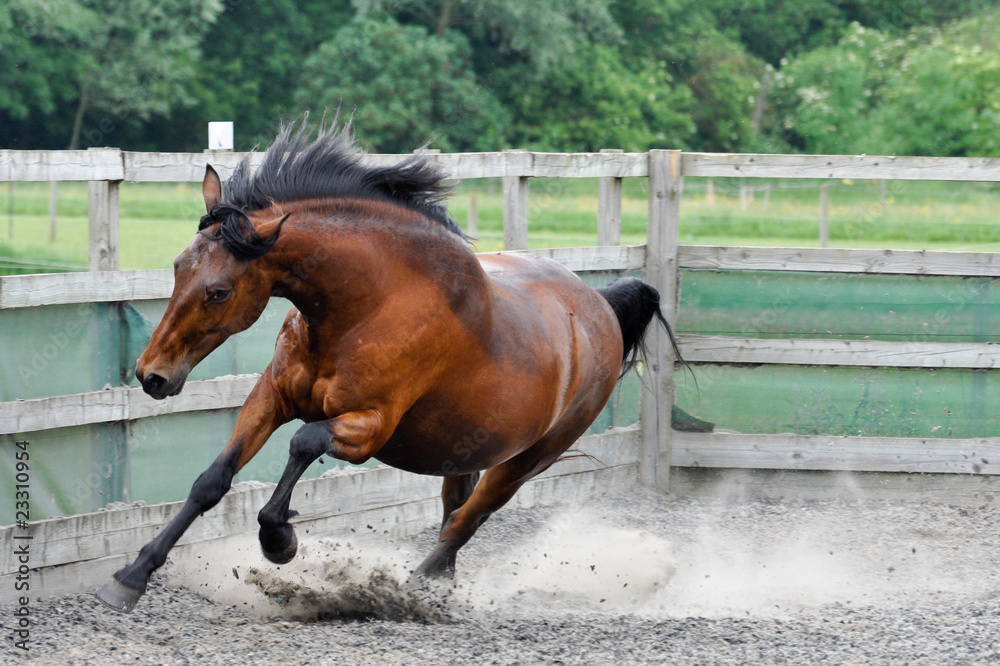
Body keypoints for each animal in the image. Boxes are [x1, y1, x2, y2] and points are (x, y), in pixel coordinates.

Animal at [95, 125, 676, 613]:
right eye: (178, 267)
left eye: (218, 292)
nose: (152, 375)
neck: (369, 306)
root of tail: (603, 308)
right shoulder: (270, 398)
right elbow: (211, 482)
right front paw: (131, 576)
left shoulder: (368, 427)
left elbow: (303, 442)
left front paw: (279, 540)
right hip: (464, 448)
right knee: (454, 510)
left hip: (530, 459)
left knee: (468, 519)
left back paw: (412, 591)